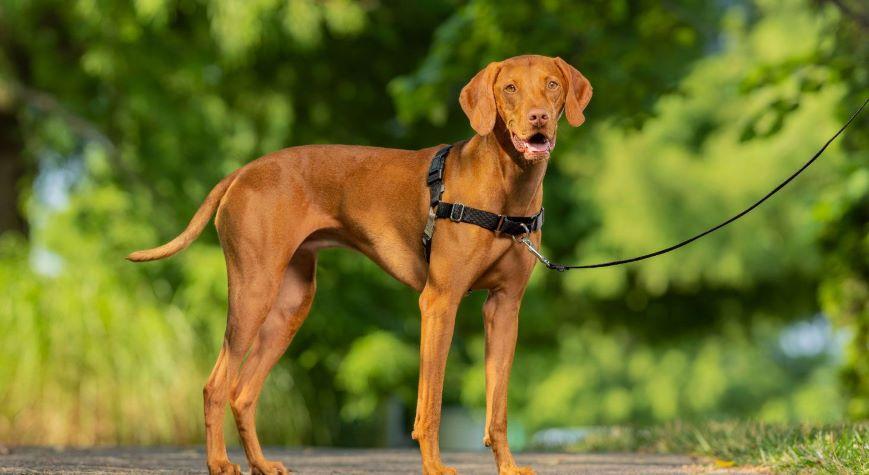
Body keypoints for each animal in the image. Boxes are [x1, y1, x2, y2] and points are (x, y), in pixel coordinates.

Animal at [129, 54, 588, 474]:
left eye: (551, 85)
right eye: (509, 88)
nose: (538, 117)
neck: (508, 188)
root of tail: (243, 171)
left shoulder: (504, 308)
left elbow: (498, 408)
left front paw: (508, 467)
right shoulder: (439, 302)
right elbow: (431, 403)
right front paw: (435, 467)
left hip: (291, 306)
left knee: (242, 392)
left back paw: (261, 463)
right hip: (253, 293)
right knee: (215, 385)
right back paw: (220, 463)